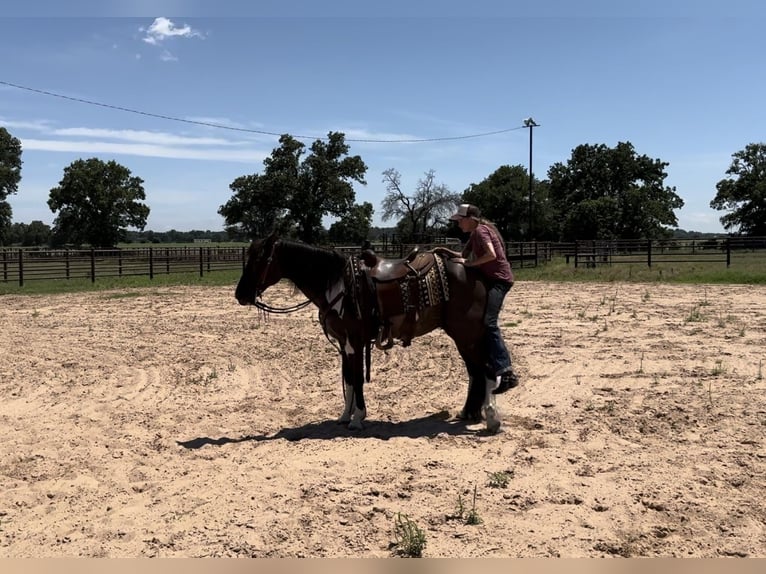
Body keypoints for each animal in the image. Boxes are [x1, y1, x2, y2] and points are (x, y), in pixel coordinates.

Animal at [237, 233, 508, 432]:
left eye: (260, 260)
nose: (240, 294)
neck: (337, 284)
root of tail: (473, 270)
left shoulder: (355, 342)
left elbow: (357, 378)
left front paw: (358, 418)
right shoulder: (344, 344)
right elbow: (348, 379)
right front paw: (344, 416)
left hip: (467, 333)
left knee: (485, 370)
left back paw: (492, 418)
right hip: (462, 336)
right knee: (475, 371)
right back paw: (470, 413)